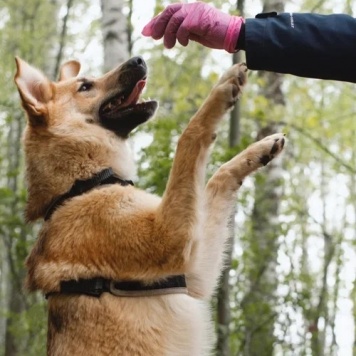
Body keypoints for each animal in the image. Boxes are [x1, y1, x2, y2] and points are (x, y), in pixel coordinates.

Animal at [13, 57, 286, 354]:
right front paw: (222, 90)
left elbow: (218, 176)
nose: (139, 60)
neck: (82, 186)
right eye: (85, 86)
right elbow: (190, 135)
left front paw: (258, 150)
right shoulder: (170, 238)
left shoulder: (193, 273)